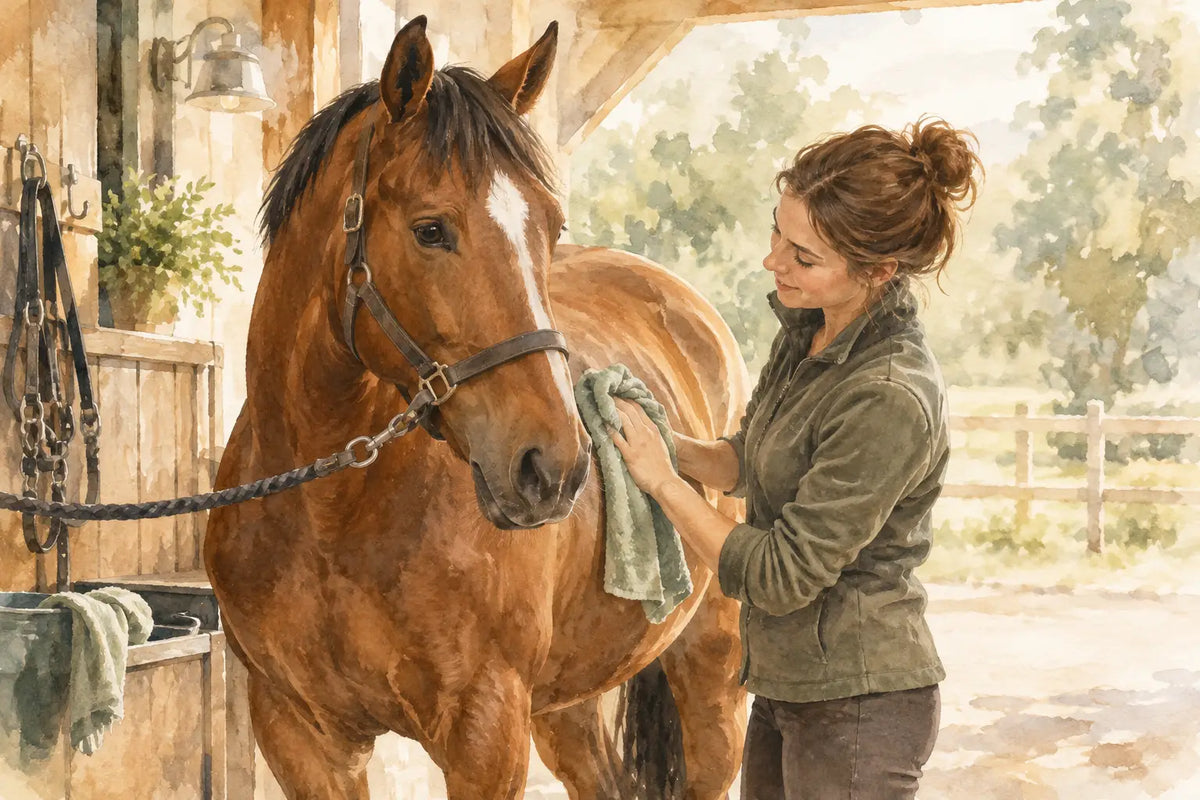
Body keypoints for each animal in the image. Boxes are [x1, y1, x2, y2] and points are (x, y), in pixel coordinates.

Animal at [205, 16, 750, 800]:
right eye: (431, 229)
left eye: (550, 228)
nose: (553, 467)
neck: (329, 513)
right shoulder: (300, 735)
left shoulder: (484, 733)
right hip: (566, 706)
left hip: (711, 675)